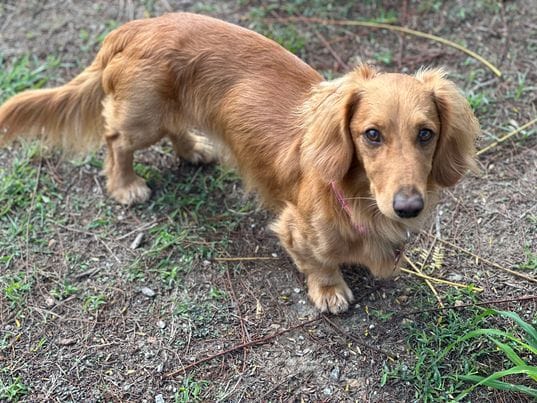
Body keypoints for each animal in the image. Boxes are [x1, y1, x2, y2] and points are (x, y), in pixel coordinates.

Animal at [0, 12, 478, 316]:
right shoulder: (295, 228)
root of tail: (137, 26)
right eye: (372, 135)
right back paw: (125, 184)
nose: (409, 207)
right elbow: (319, 261)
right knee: (116, 139)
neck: (358, 196)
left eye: (425, 134)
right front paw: (330, 290)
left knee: (173, 129)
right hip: (142, 119)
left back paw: (195, 149)